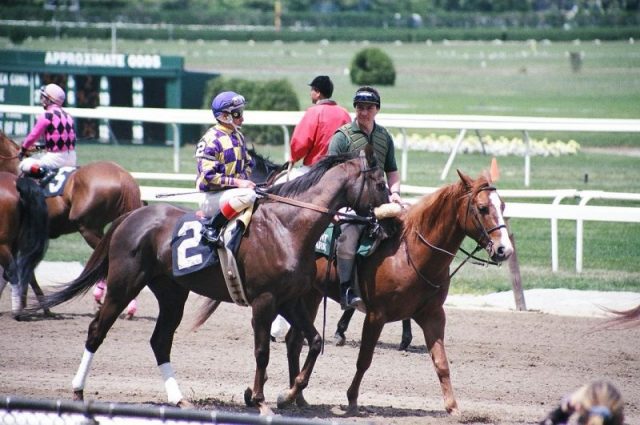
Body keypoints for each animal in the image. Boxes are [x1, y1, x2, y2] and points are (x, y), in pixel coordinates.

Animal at [33, 146, 390, 414]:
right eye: (380, 183)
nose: (385, 225)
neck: (286, 226)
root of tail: (132, 216)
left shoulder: (288, 300)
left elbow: (313, 341)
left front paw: (288, 394)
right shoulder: (264, 301)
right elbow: (263, 351)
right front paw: (259, 400)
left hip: (172, 294)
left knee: (160, 341)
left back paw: (179, 399)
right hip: (123, 285)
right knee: (97, 330)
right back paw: (78, 391)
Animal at [284, 168, 516, 414]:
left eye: (502, 206)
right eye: (482, 208)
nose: (504, 250)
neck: (409, 254)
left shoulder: (433, 315)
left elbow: (441, 362)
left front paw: (453, 407)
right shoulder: (376, 316)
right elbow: (364, 360)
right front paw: (352, 398)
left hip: (312, 296)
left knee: (294, 342)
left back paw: (298, 398)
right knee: (296, 341)